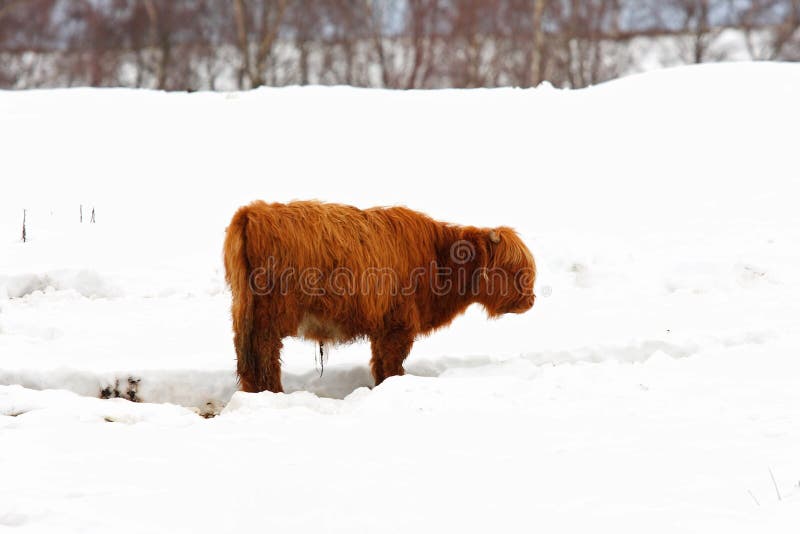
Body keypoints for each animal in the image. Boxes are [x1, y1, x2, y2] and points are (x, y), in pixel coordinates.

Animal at [222, 201, 536, 394]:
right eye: (510, 268)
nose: (530, 301)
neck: (438, 259)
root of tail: (253, 212)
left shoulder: (383, 325)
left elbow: (380, 362)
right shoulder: (398, 325)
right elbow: (392, 363)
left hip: (244, 310)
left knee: (245, 354)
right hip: (270, 316)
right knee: (265, 354)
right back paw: (273, 393)